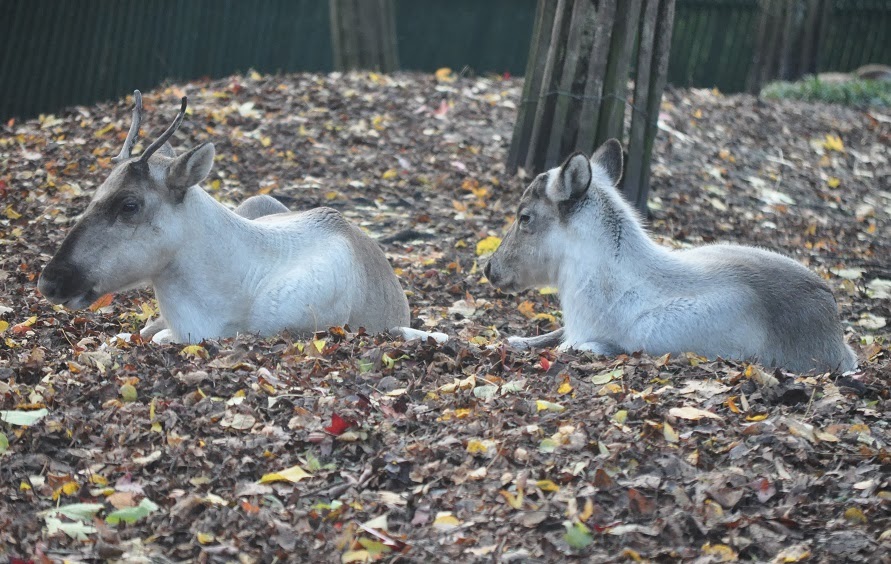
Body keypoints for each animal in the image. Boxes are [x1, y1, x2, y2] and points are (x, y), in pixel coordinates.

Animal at [484, 139, 857, 374]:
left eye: (525, 217)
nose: (490, 268)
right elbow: (538, 336)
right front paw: (511, 340)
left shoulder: (623, 342)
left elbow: (573, 347)